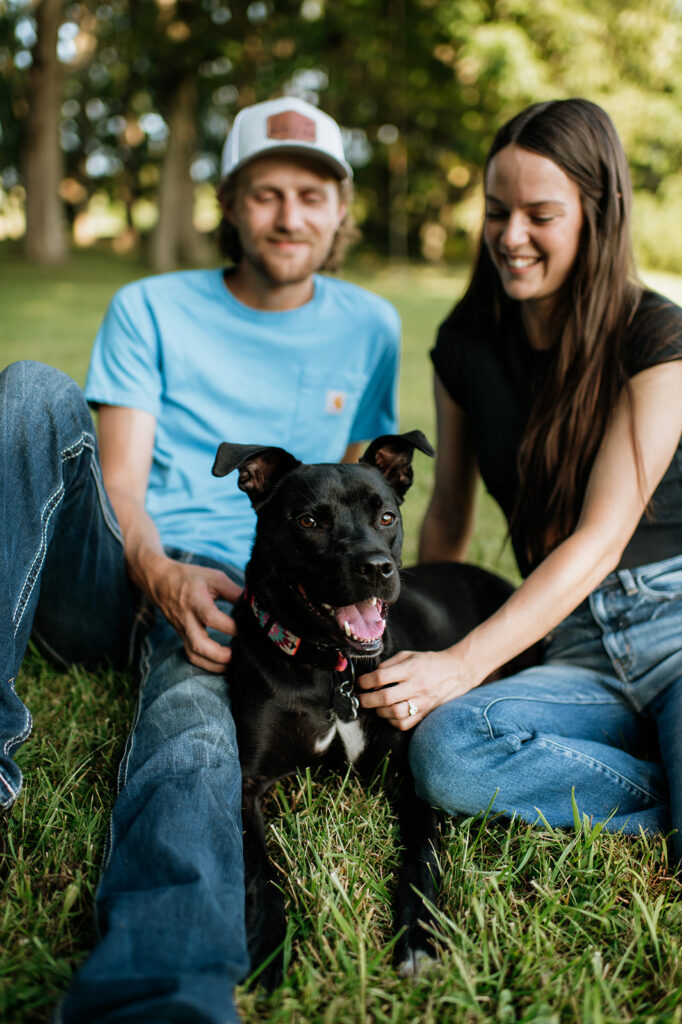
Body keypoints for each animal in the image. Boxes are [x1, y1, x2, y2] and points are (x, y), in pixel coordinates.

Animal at [212, 432, 524, 991]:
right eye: (308, 521)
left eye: (386, 517)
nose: (377, 568)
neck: (332, 670)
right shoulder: (246, 782)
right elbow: (257, 871)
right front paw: (268, 947)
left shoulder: (410, 778)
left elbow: (421, 863)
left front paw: (419, 942)